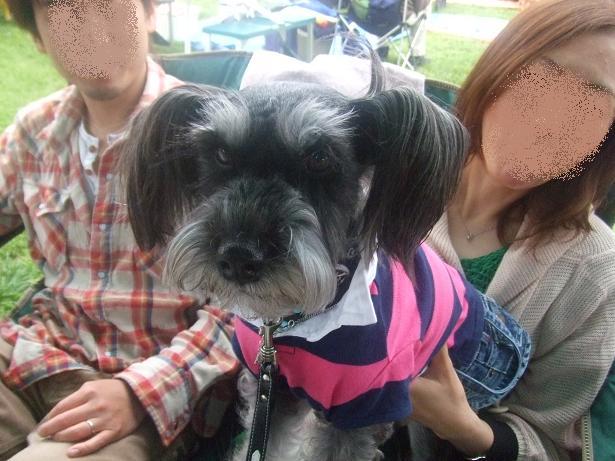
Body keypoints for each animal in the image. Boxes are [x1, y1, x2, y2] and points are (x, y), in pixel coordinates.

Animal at [121, 66, 481, 461]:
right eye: (221, 154)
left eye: (319, 158)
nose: (237, 257)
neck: (291, 323)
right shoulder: (271, 387)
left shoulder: (361, 411)